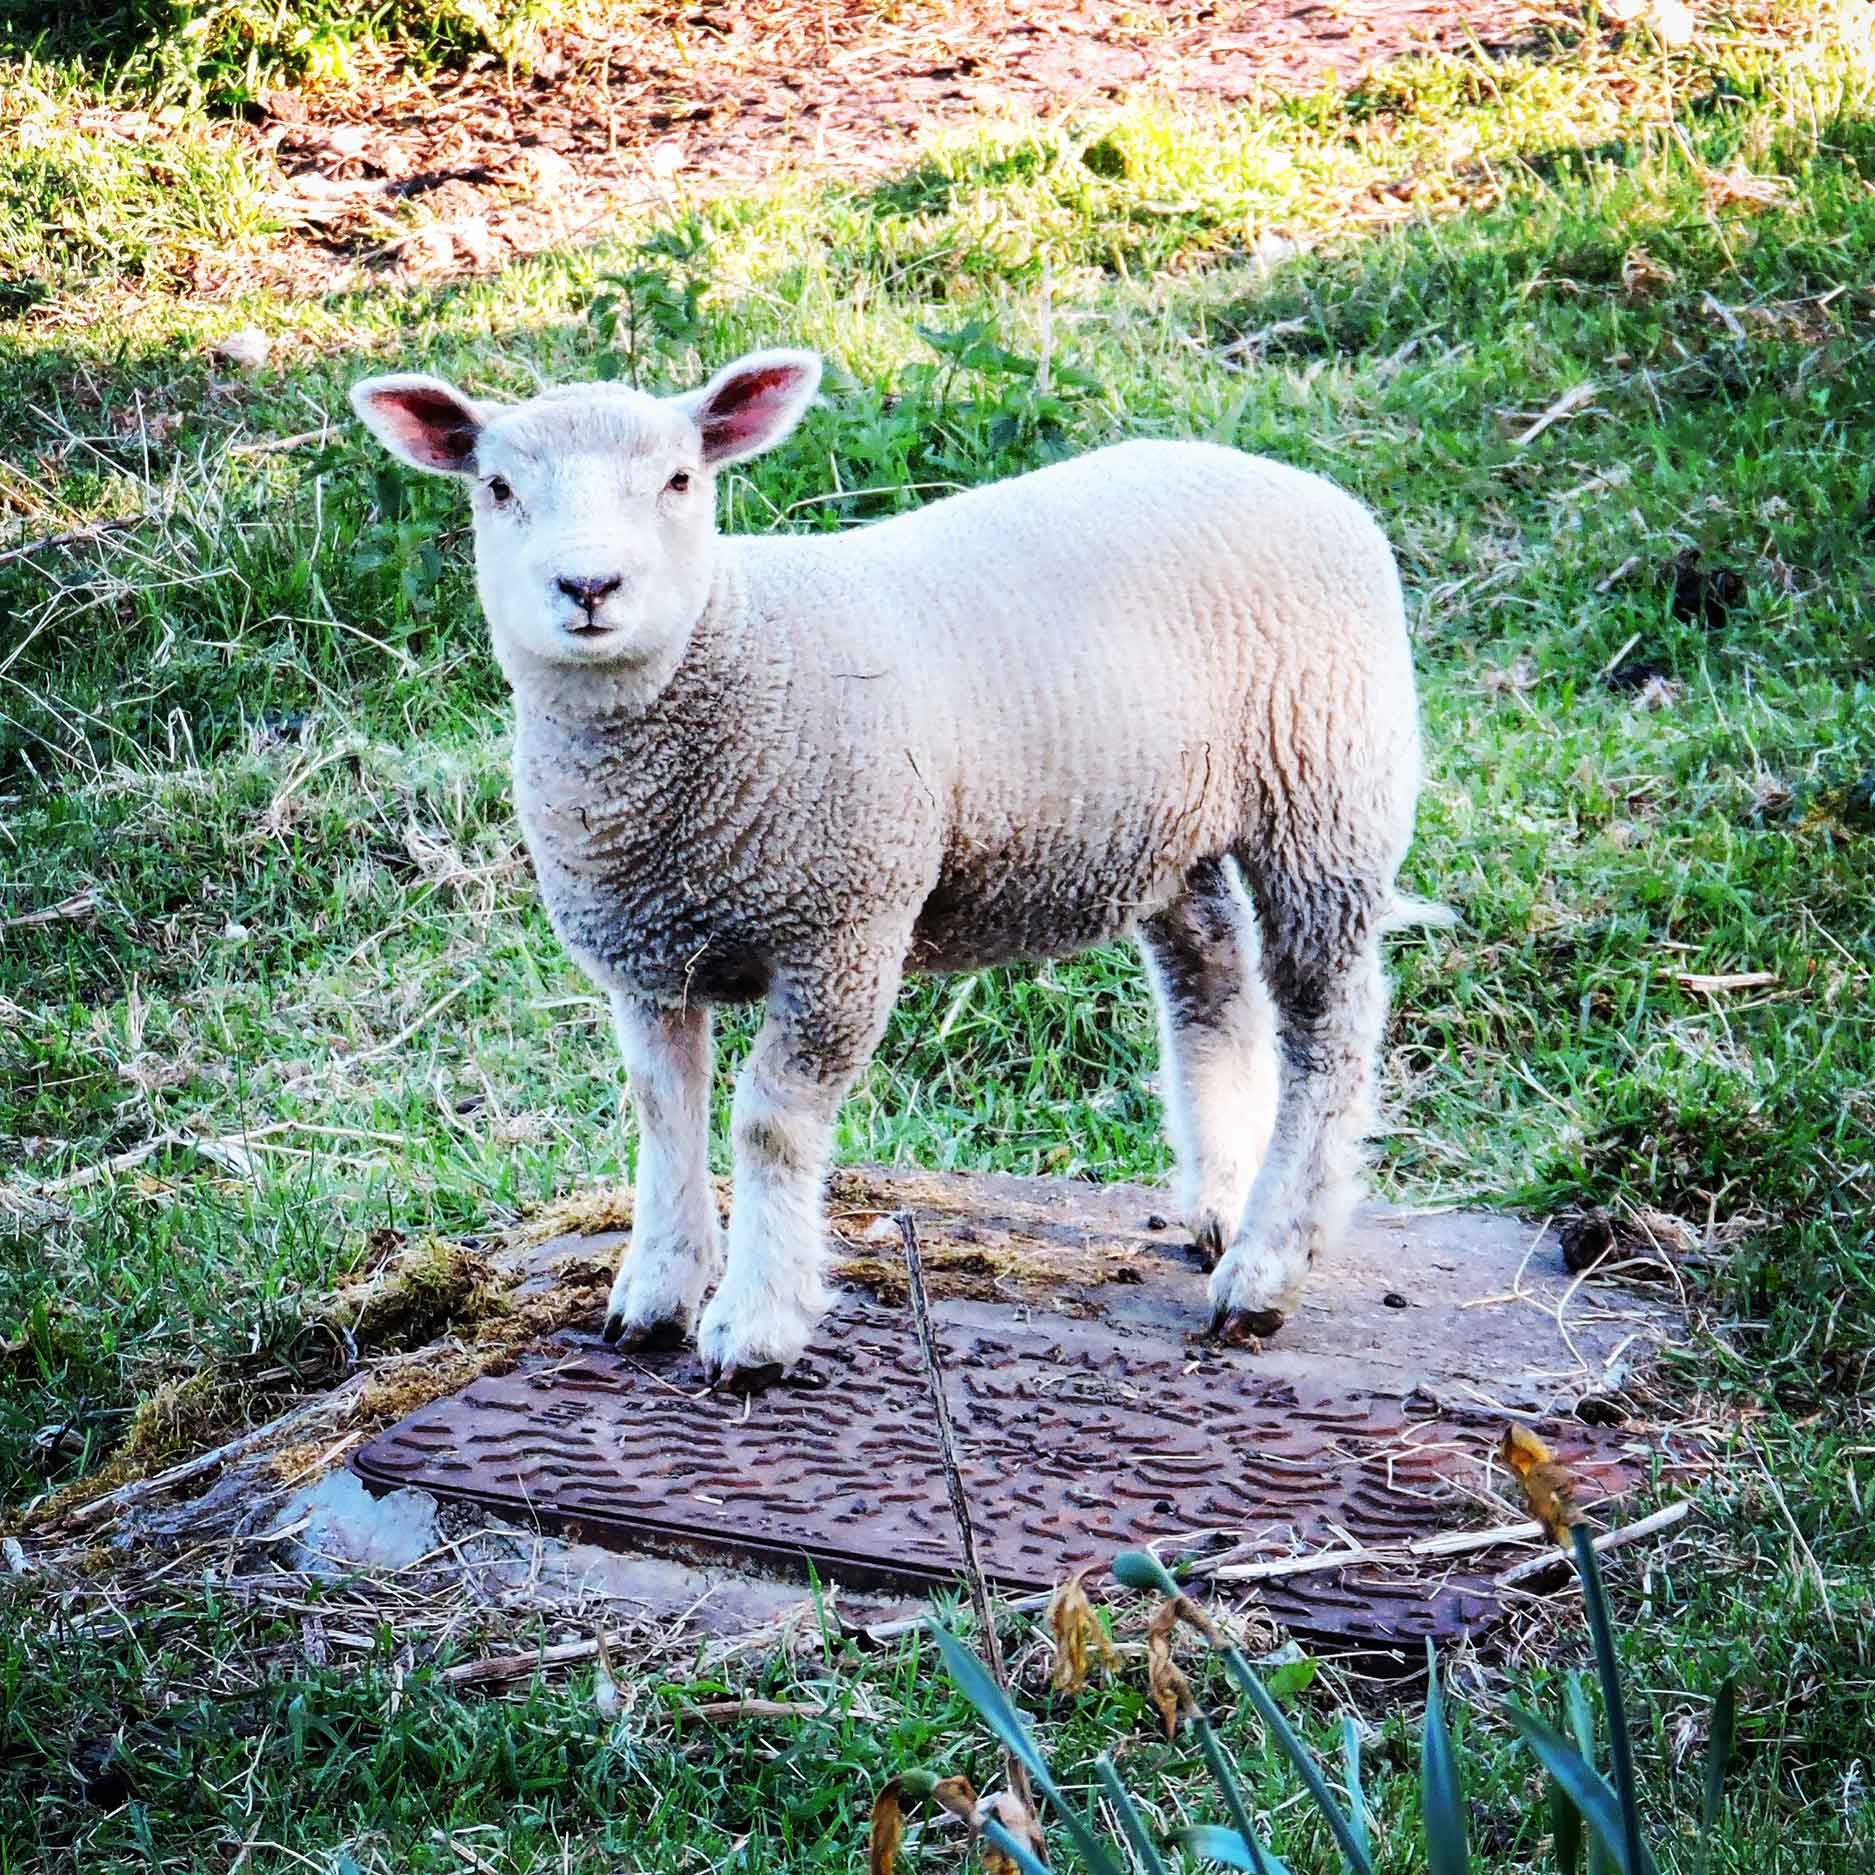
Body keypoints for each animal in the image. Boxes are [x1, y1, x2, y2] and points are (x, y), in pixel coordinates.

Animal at [351, 348, 1427, 1389]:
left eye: (679, 479)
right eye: (497, 486)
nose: (589, 587)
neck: (727, 654)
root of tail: (1296, 480)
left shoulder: (840, 933)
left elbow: (770, 1127)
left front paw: (755, 1326)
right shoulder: (649, 954)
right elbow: (663, 1113)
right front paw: (655, 1291)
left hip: (1325, 789)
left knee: (1328, 1026)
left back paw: (1268, 1266)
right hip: (1168, 821)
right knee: (1211, 981)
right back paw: (1221, 1199)